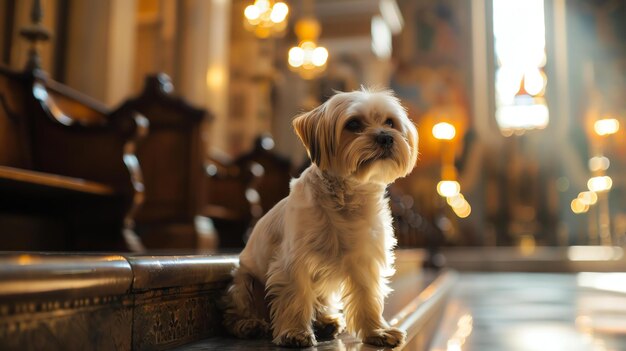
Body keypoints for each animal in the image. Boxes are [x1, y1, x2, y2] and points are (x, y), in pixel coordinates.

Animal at [222, 88, 416, 350]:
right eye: (353, 124)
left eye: (390, 122)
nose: (386, 137)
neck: (348, 197)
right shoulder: (294, 262)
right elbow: (296, 296)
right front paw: (294, 333)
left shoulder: (364, 261)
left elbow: (367, 297)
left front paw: (377, 331)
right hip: (245, 282)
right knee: (237, 311)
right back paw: (249, 324)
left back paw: (326, 321)